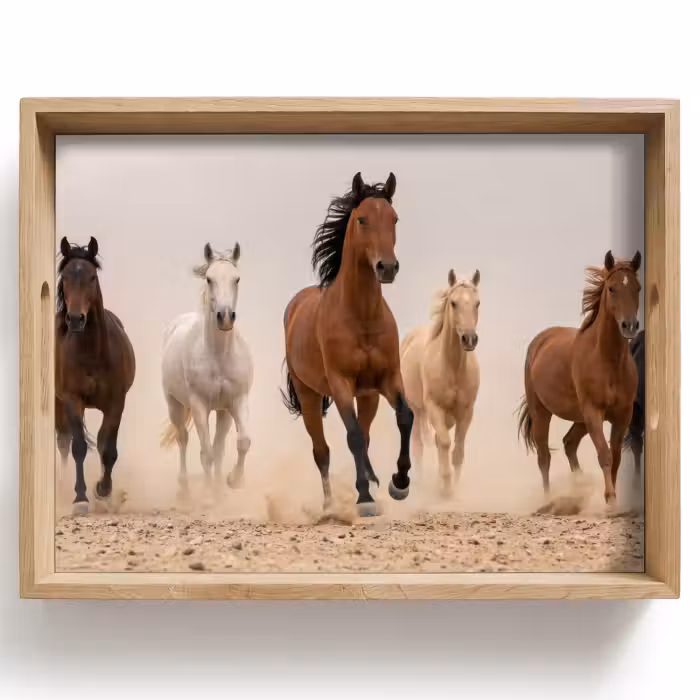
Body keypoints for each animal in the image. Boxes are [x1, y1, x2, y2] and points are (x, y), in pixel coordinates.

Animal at [55, 237, 136, 514]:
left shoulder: (116, 402)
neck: (92, 353)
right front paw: (80, 498)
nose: (75, 319)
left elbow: (107, 448)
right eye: (65, 276)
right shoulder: (72, 399)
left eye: (91, 277)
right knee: (64, 442)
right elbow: (79, 447)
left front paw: (104, 490)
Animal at [160, 243, 253, 496]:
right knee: (183, 438)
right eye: (210, 279)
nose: (225, 317)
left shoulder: (236, 401)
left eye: (237, 279)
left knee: (218, 446)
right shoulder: (200, 405)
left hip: (221, 412)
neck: (219, 356)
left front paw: (233, 481)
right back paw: (184, 489)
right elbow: (207, 454)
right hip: (175, 405)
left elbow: (241, 442)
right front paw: (209, 497)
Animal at [281, 172, 413, 516]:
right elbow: (351, 436)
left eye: (395, 218)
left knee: (364, 437)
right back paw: (330, 505)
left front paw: (399, 483)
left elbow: (405, 417)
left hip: (368, 396)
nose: (387, 267)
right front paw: (364, 498)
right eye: (363, 219)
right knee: (322, 451)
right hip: (310, 396)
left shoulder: (387, 379)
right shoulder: (340, 383)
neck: (361, 317)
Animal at [400, 268, 481, 496]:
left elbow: (458, 449)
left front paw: (453, 486)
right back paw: (419, 482)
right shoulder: (434, 408)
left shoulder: (466, 411)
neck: (452, 368)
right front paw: (445, 486)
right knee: (418, 445)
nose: (469, 339)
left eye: (477, 303)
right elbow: (444, 442)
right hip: (416, 410)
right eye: (453, 303)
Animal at [517, 250, 641, 507]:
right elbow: (604, 454)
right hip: (542, 411)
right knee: (544, 457)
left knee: (569, 443)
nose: (630, 326)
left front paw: (612, 499)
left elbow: (615, 457)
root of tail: (540, 341)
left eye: (638, 288)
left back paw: (579, 486)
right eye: (612, 288)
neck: (607, 361)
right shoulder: (593, 411)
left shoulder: (622, 415)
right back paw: (549, 499)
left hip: (580, 419)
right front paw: (610, 500)